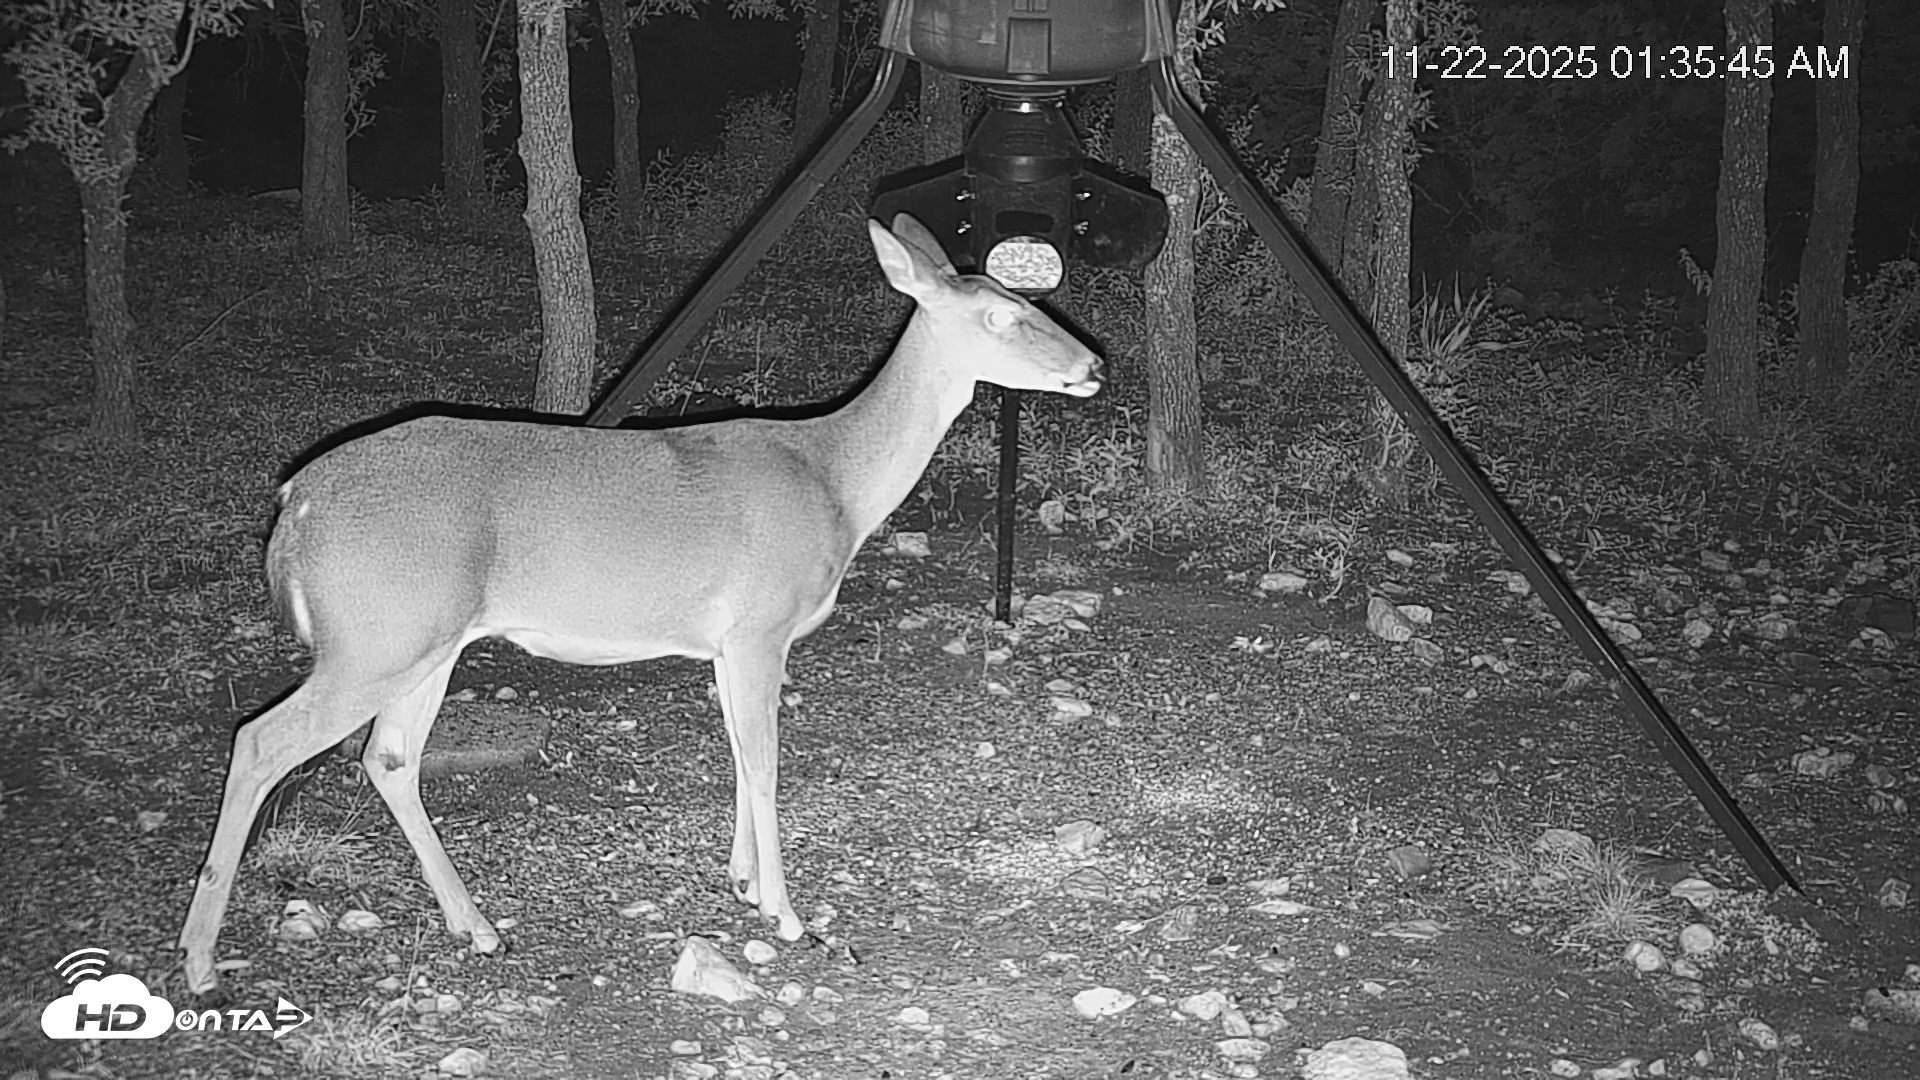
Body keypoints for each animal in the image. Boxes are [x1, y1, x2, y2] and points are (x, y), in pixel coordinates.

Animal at [177, 214, 1104, 993]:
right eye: (1002, 316)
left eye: (1033, 297)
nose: (1093, 364)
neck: (836, 480)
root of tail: (296, 502)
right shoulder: (762, 624)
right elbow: (766, 761)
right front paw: (790, 917)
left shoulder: (728, 642)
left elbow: (738, 751)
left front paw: (744, 884)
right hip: (375, 636)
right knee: (260, 741)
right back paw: (200, 963)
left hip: (420, 641)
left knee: (389, 759)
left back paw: (478, 929)